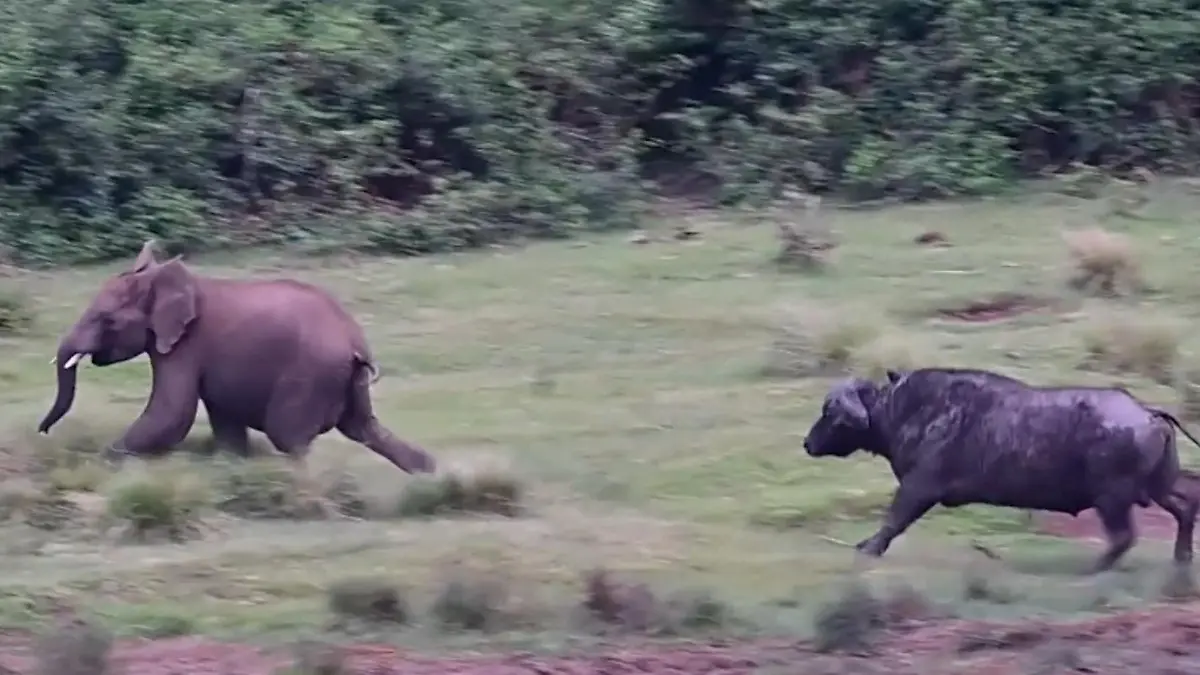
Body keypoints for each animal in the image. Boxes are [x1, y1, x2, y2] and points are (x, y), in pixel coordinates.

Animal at [37, 240, 436, 478]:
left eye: (107, 320)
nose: (42, 433)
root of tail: (355, 343)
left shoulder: (184, 345)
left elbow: (171, 415)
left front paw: (97, 465)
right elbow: (222, 423)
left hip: (310, 373)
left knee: (289, 437)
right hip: (345, 379)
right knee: (365, 428)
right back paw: (431, 475)